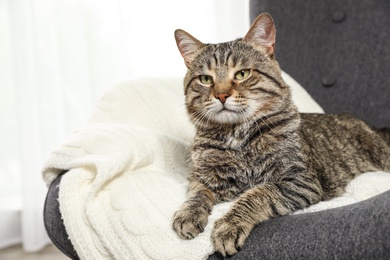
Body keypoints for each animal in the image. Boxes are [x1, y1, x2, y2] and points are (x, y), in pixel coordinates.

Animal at [172, 12, 390, 256]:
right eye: (205, 79)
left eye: (242, 74)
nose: (221, 95)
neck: (237, 137)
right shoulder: (203, 178)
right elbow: (197, 194)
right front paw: (188, 213)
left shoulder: (300, 181)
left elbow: (257, 194)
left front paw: (229, 225)